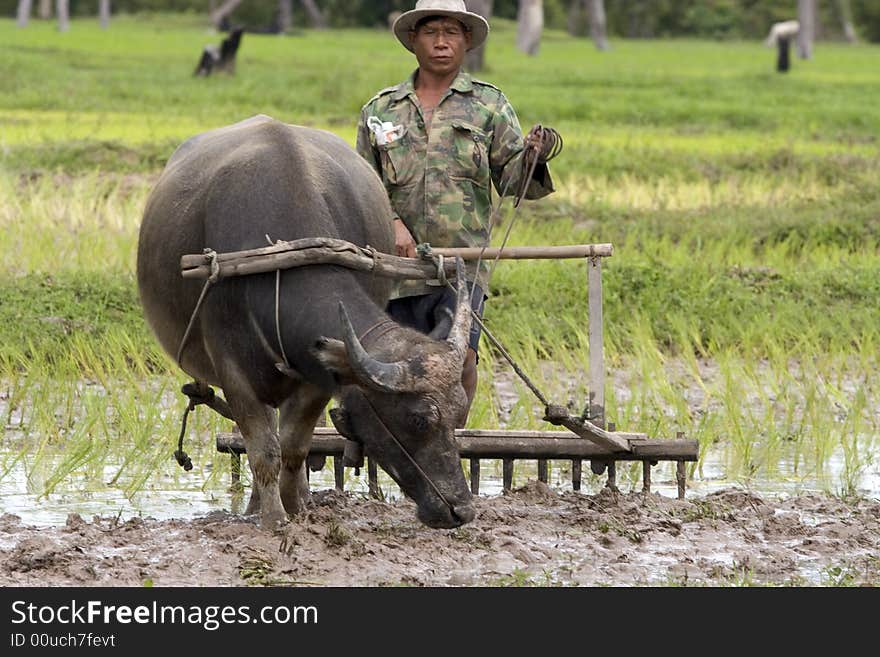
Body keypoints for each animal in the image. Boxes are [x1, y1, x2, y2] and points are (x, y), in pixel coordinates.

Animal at [138, 114, 478, 528]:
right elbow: (264, 450)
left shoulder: (317, 376)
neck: (282, 258)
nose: (460, 510)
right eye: (417, 421)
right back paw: (255, 507)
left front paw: (297, 510)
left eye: (460, 414)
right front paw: (273, 520)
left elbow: (295, 447)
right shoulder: (232, 368)